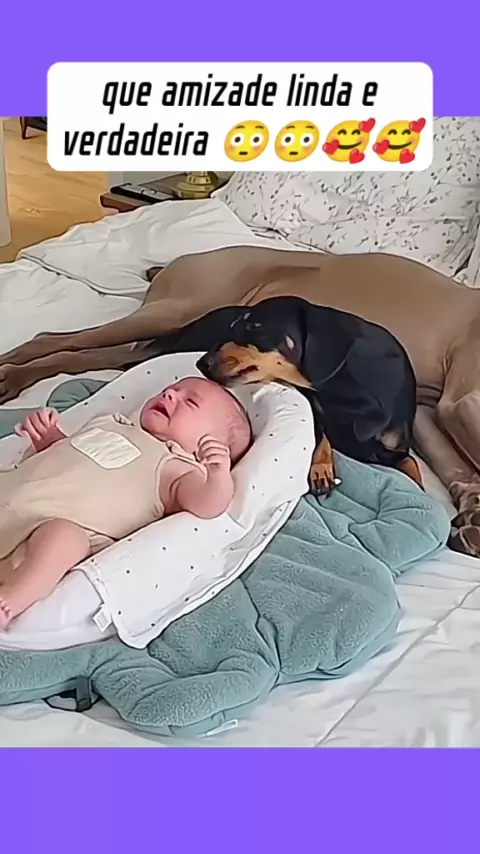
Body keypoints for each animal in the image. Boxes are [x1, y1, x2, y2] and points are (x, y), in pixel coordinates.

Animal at [194, 297, 422, 495]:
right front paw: (321, 468)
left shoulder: (392, 446)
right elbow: (320, 431)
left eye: (254, 326)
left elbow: (411, 463)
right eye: (234, 327)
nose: (202, 363)